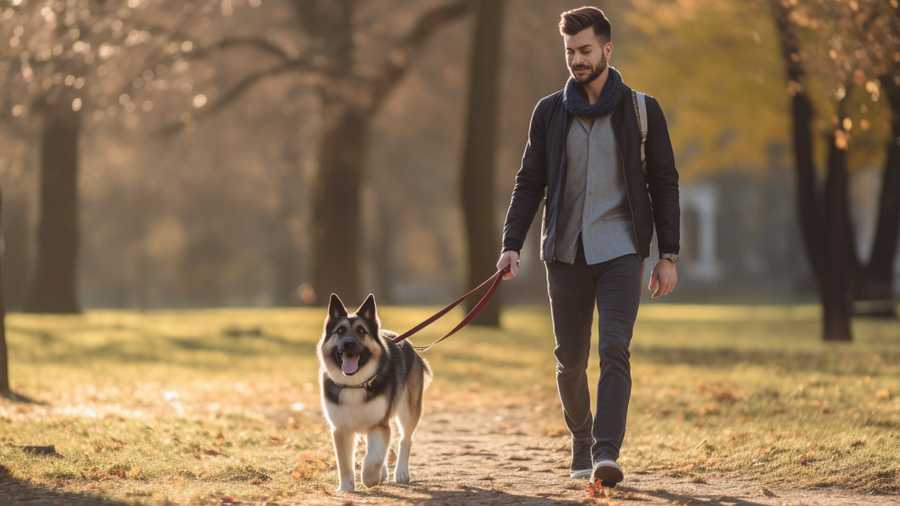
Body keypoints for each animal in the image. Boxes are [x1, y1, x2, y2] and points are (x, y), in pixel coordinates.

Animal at [318, 290, 430, 492]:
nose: (348, 344)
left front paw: (371, 478)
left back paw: (400, 472)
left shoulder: (378, 424)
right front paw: (346, 487)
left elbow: (374, 458)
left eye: (362, 331)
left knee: (405, 440)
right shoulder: (341, 429)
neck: (354, 384)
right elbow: (344, 462)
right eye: (340, 331)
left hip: (409, 409)